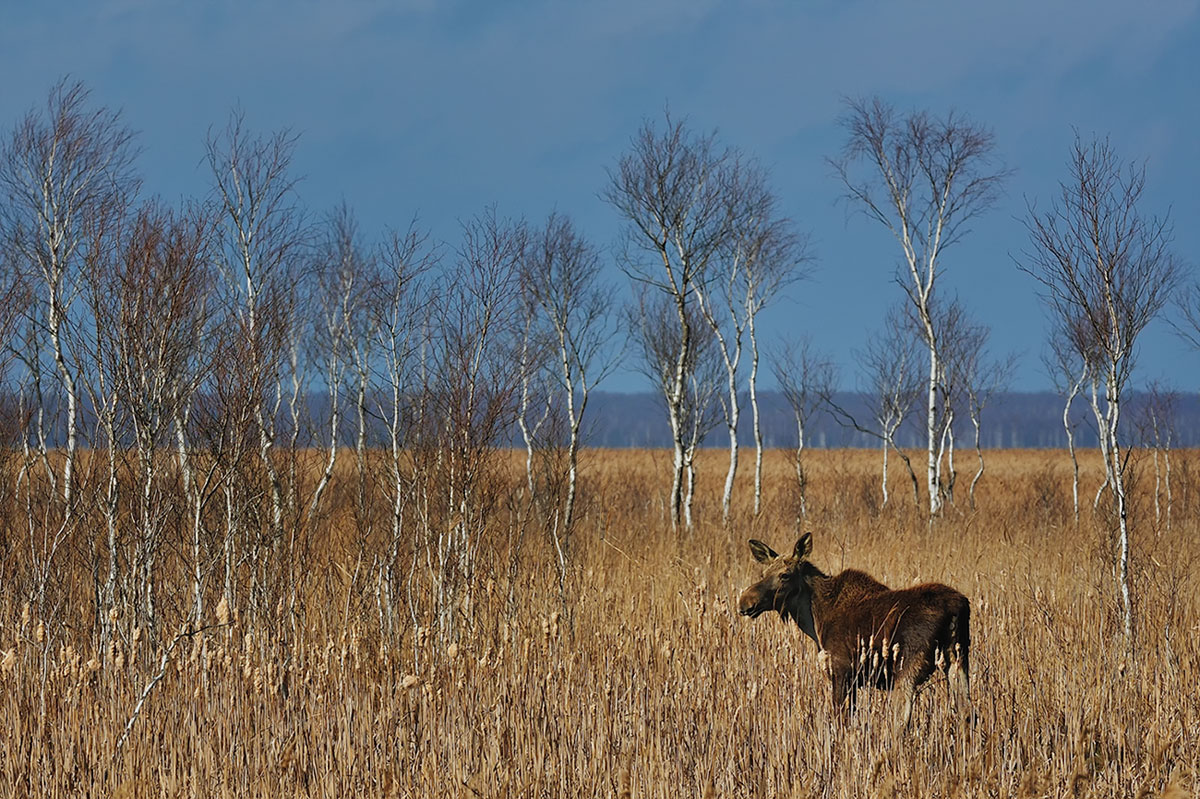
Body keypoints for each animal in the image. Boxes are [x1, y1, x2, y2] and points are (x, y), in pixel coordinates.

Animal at [739, 527, 974, 729]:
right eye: (764, 573)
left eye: (785, 575)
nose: (744, 601)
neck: (814, 618)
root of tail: (957, 607)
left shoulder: (841, 670)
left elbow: (841, 719)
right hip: (958, 659)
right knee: (967, 713)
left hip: (907, 667)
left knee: (901, 721)